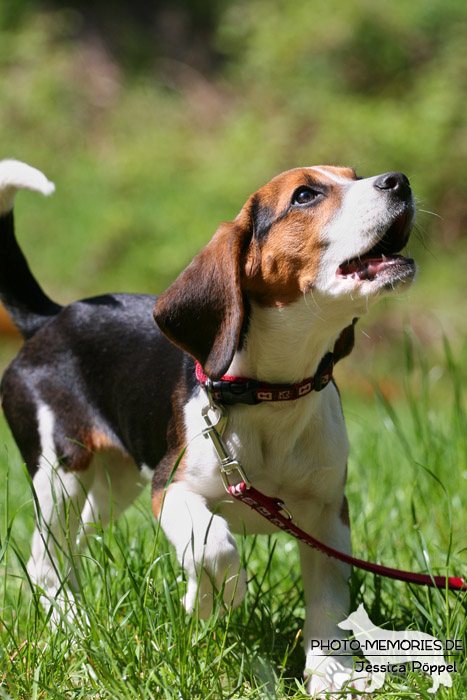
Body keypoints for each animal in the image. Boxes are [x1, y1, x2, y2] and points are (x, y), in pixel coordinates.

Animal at [0, 160, 416, 696]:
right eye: (304, 195)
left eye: (354, 173)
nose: (399, 181)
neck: (272, 393)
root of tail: (50, 318)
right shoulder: (170, 489)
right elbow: (214, 546)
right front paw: (211, 602)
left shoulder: (327, 514)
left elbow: (328, 603)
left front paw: (332, 677)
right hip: (61, 471)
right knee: (44, 559)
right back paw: (72, 628)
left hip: (114, 484)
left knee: (69, 547)